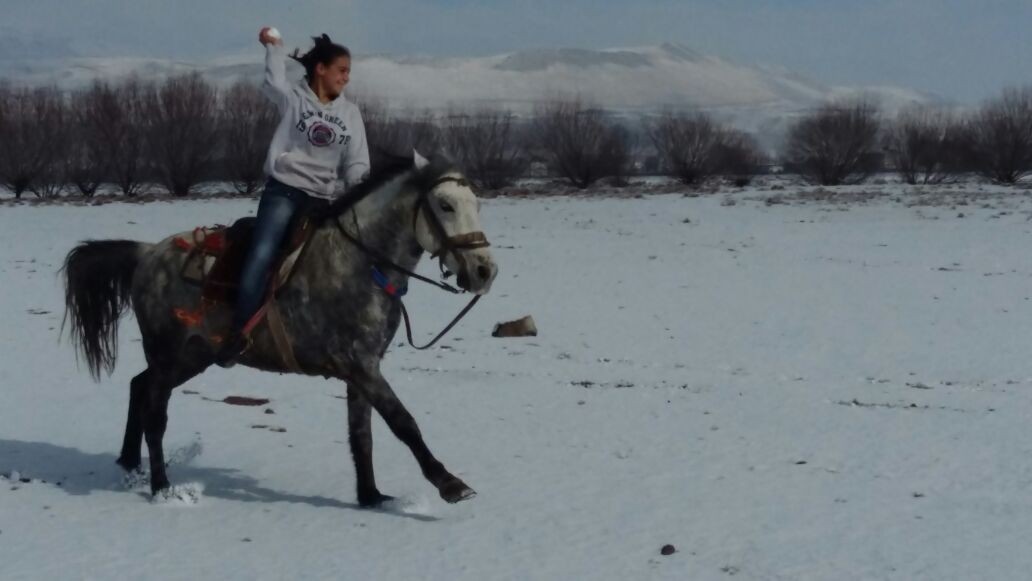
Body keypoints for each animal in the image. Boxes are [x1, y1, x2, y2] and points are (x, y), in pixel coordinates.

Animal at [61, 153, 499, 505]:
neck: (359, 263)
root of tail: (147, 253)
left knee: (139, 386)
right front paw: (451, 484)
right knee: (155, 411)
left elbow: (362, 433)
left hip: (193, 355)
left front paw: (372, 496)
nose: (484, 271)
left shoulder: (362, 368)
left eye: (475, 204)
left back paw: (130, 464)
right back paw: (161, 487)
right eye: (444, 205)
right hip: (169, 353)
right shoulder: (360, 365)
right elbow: (403, 423)